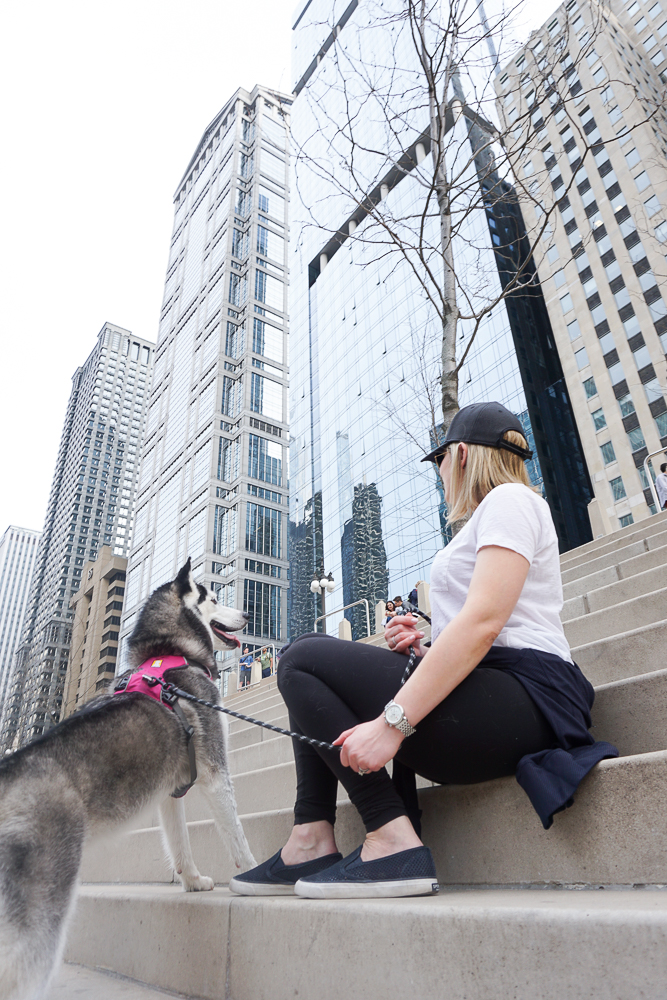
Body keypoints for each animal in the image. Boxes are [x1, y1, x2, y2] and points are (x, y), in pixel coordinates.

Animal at [0, 560, 258, 996]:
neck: (169, 653)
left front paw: (192, 882)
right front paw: (253, 872)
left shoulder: (171, 791)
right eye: (212, 597)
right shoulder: (214, 772)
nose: (247, 615)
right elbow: (237, 837)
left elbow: (180, 843)